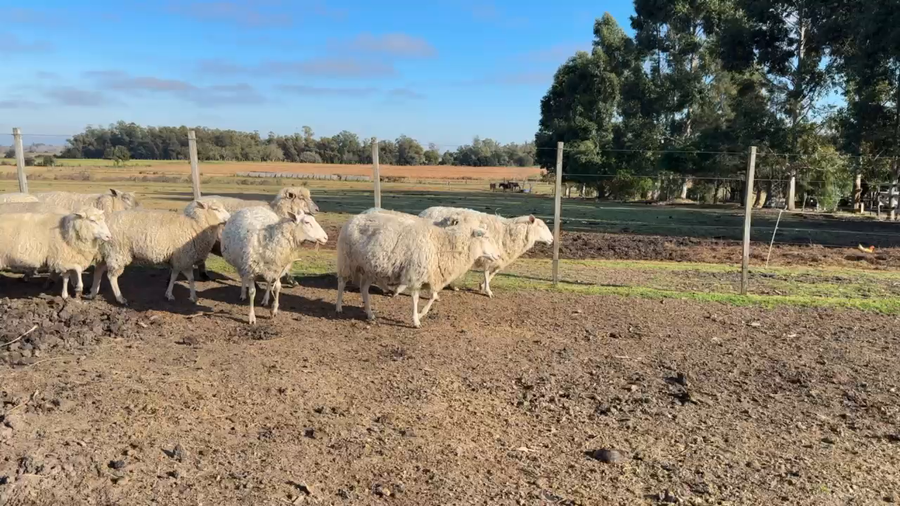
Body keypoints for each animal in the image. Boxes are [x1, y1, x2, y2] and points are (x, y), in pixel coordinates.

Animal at [88, 201, 230, 305]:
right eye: (215, 209)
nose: (229, 218)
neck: (194, 225)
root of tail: (106, 222)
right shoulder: (183, 257)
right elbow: (182, 277)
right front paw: (182, 296)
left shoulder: (181, 259)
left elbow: (181, 277)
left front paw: (180, 295)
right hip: (118, 251)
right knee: (112, 276)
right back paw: (120, 298)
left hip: (106, 251)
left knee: (98, 269)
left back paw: (93, 292)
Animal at [186, 187, 319, 282]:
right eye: (301, 197)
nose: (317, 209)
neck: (277, 210)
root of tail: (190, 205)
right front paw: (290, 280)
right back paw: (202, 275)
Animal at [335, 209, 501, 328]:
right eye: (486, 237)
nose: (499, 255)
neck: (443, 245)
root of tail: (354, 218)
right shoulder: (415, 274)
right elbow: (415, 298)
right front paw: (415, 320)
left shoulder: (432, 275)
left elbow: (433, 297)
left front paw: (421, 314)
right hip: (346, 261)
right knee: (342, 283)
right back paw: (338, 307)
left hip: (369, 268)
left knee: (364, 289)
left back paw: (370, 313)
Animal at [418, 207, 554, 298]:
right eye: (541, 227)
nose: (552, 239)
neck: (508, 232)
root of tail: (423, 212)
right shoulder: (488, 255)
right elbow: (487, 272)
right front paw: (488, 291)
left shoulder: (498, 256)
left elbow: (493, 272)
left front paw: (481, 286)